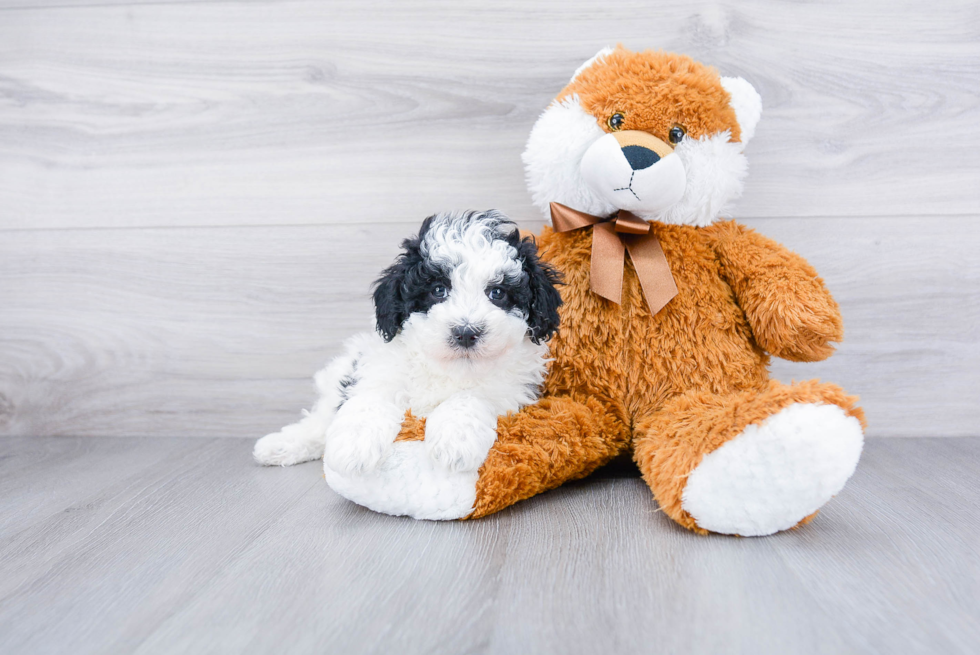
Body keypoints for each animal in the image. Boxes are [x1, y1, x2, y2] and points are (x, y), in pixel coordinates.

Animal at [253, 213, 564, 520]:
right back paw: (278, 445)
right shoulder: (379, 369)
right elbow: (369, 400)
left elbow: (471, 397)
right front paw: (353, 446)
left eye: (497, 293)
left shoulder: (512, 391)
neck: (448, 368)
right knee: (320, 421)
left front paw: (455, 441)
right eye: (438, 290)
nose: (465, 332)